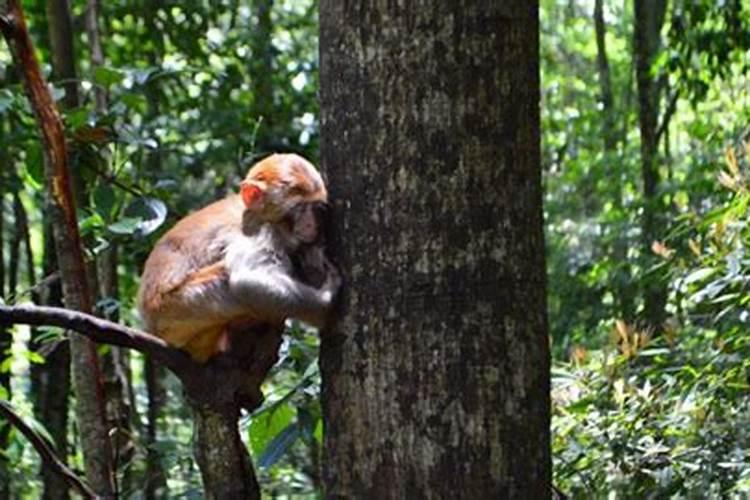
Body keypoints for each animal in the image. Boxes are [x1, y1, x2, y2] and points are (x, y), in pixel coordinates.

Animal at [137, 154, 342, 362]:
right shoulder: (260, 232)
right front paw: (327, 300)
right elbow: (247, 279)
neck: (252, 212)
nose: (311, 225)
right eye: (299, 208)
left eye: (316, 209)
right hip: (177, 310)